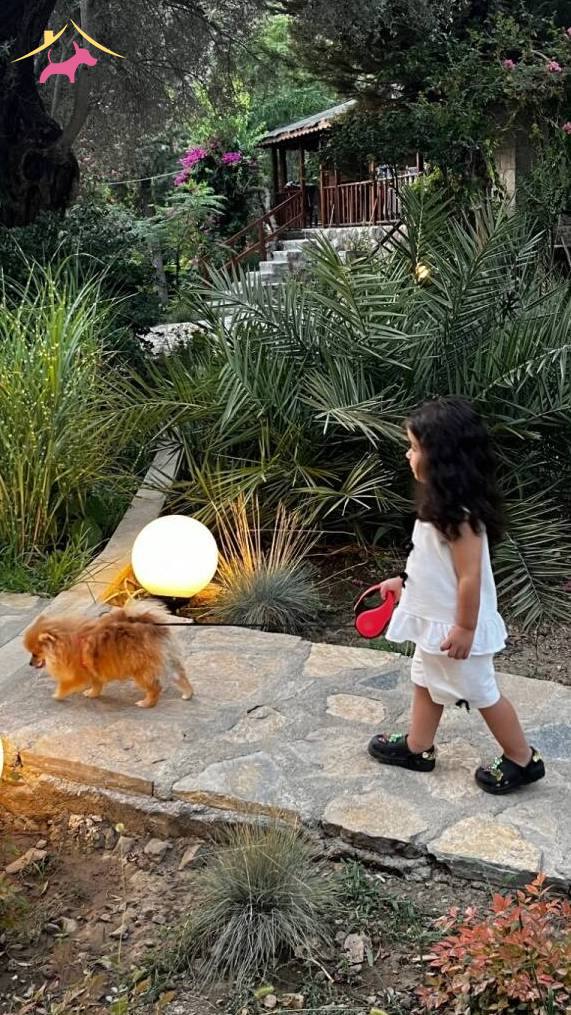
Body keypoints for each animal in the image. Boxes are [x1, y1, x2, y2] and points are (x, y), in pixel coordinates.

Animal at [23, 603, 193, 709]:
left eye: (35, 653)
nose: (30, 663)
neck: (68, 642)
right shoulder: (93, 672)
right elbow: (97, 685)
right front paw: (92, 694)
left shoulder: (76, 674)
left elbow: (64, 685)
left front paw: (57, 695)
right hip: (169, 659)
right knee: (181, 676)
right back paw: (187, 694)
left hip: (140, 669)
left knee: (155, 687)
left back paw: (146, 703)